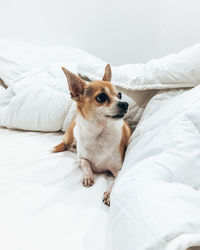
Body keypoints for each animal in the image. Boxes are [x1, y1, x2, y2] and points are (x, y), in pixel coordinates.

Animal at [52, 64, 132, 205]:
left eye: (120, 95)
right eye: (101, 97)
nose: (125, 104)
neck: (99, 134)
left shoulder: (118, 169)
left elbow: (116, 181)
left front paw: (109, 193)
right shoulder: (81, 158)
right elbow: (86, 163)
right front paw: (88, 176)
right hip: (71, 135)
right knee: (67, 145)